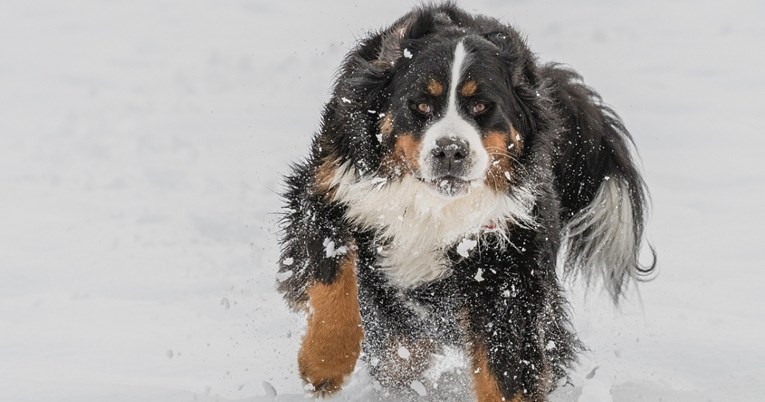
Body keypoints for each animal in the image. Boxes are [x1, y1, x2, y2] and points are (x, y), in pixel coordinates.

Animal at [278, 3, 652, 402]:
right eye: (421, 104)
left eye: (482, 106)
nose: (450, 150)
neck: (430, 206)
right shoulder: (331, 190)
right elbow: (333, 278)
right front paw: (324, 362)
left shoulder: (504, 261)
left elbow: (503, 363)